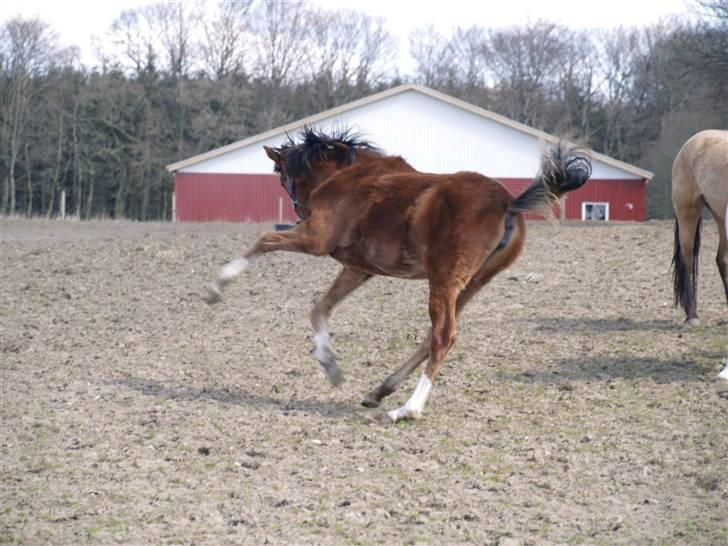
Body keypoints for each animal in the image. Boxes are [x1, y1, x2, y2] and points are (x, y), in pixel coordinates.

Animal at [203, 129, 592, 420]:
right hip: (471, 284)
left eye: (285, 179)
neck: (346, 176)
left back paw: (408, 408)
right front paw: (329, 364)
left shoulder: (315, 239)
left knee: (443, 336)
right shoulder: (358, 268)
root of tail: (506, 203)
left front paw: (217, 287)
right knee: (432, 337)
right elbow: (319, 309)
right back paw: (380, 391)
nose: (300, 212)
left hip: (444, 279)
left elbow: (263, 241)